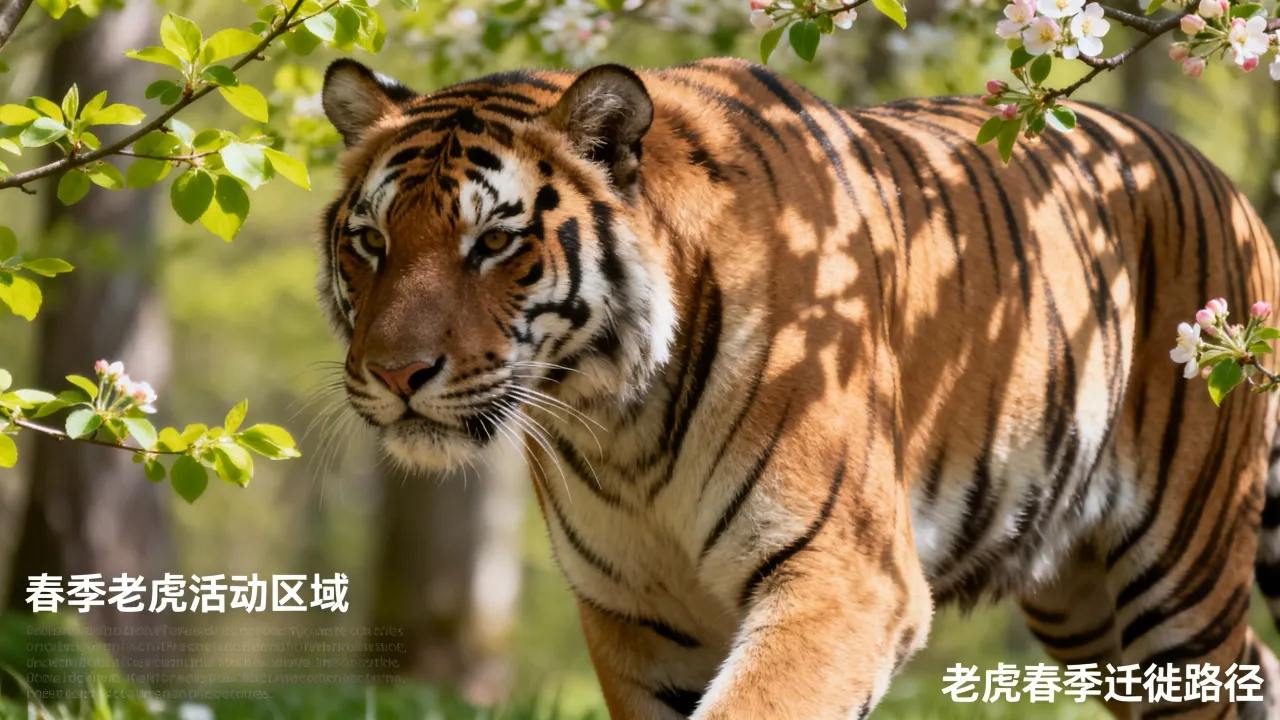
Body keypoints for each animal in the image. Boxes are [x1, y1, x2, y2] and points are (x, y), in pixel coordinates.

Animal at [315, 55, 1280, 719]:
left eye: (493, 243)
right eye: (370, 242)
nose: (396, 373)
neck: (617, 421)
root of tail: (1223, 183)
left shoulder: (845, 575)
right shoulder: (638, 616)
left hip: (1179, 575)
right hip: (1084, 604)